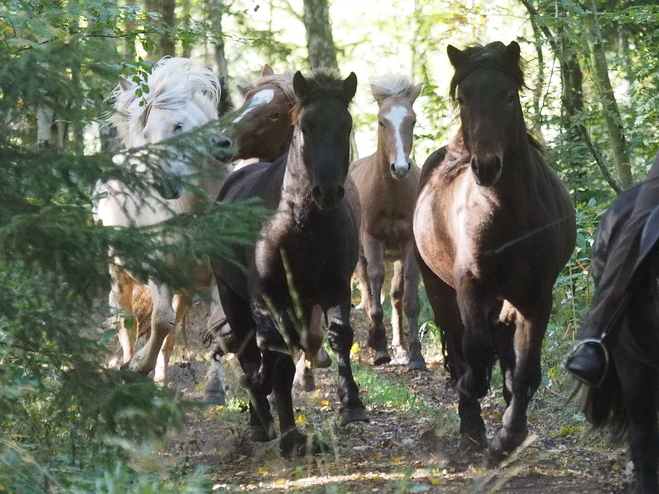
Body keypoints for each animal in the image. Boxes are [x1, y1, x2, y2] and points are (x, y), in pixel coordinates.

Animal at [96, 57, 232, 394]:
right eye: (147, 134)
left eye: (179, 125)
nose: (165, 186)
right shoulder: (159, 273)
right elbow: (160, 321)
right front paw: (137, 366)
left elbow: (218, 326)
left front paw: (214, 389)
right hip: (119, 274)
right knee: (127, 320)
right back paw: (129, 365)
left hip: (184, 288)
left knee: (170, 334)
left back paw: (160, 381)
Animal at [211, 67, 368, 458]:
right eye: (305, 126)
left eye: (345, 125)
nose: (327, 192)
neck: (300, 225)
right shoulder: (265, 296)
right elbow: (269, 350)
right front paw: (261, 393)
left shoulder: (335, 288)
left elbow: (339, 336)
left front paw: (352, 405)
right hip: (232, 295)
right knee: (249, 348)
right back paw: (261, 419)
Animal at [350, 74, 428, 370]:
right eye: (382, 121)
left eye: (412, 121)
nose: (401, 167)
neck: (391, 194)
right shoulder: (372, 240)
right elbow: (374, 283)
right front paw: (379, 347)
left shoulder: (409, 244)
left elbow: (409, 297)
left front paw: (415, 356)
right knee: (368, 285)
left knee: (395, 294)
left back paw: (400, 346)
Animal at [416, 40, 576, 462]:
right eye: (465, 97)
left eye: (508, 96)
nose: (486, 167)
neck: (510, 212)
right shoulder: (470, 287)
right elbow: (473, 353)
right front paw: (476, 421)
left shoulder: (536, 297)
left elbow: (523, 369)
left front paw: (509, 435)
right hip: (440, 291)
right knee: (460, 348)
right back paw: (471, 424)